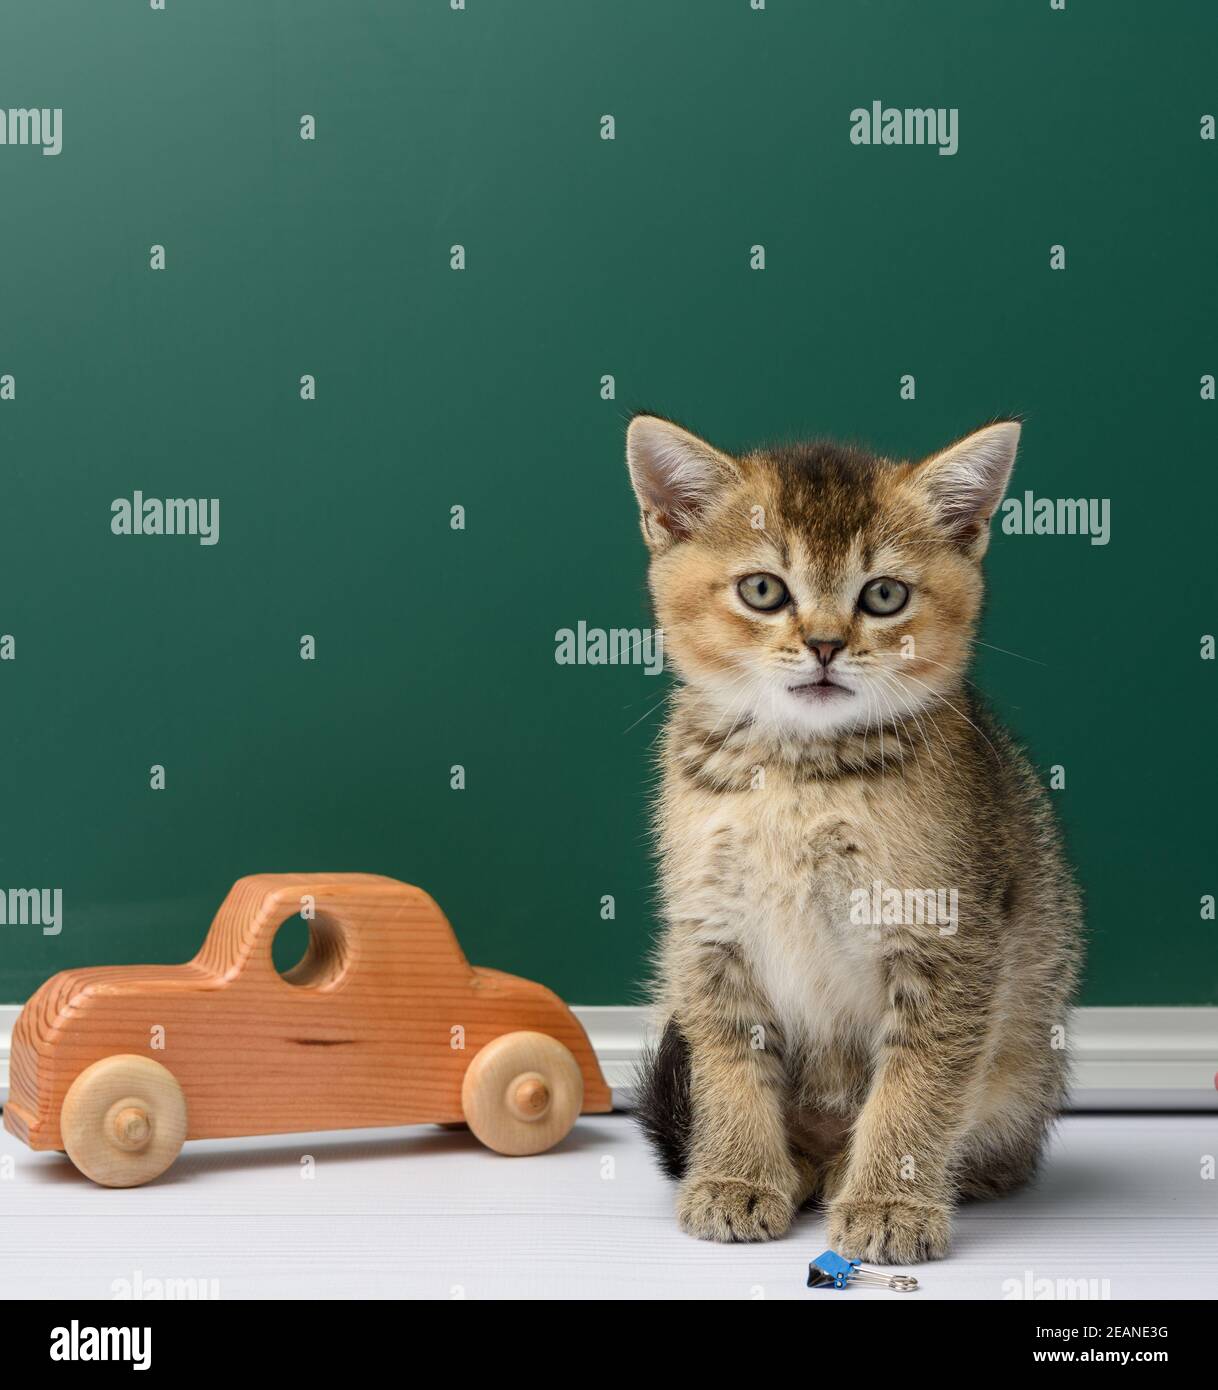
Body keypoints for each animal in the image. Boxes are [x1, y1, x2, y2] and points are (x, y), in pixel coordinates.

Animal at [628, 411, 1084, 1262]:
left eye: (884, 594)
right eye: (763, 589)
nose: (826, 645)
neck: (800, 778)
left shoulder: (949, 939)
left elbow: (917, 1084)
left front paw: (890, 1201)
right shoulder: (709, 935)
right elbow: (728, 1068)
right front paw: (737, 1178)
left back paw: (857, 1174)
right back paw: (798, 1168)